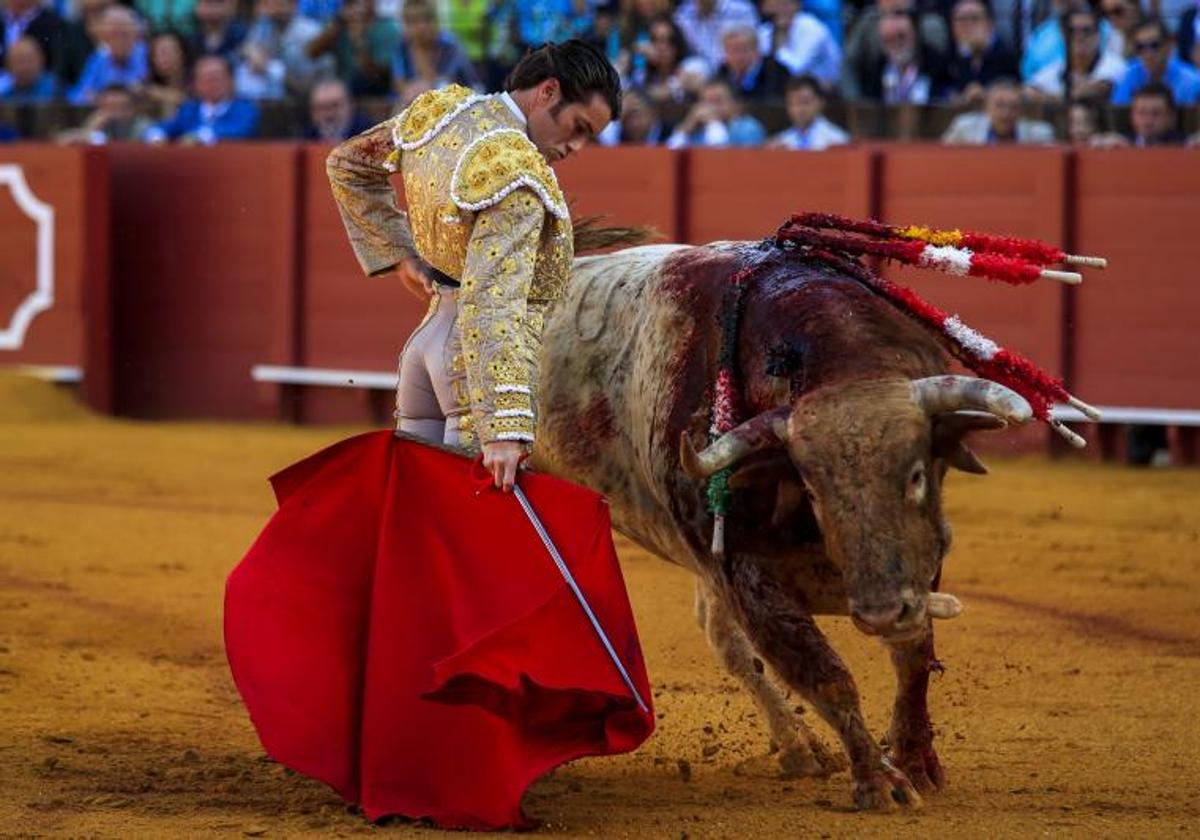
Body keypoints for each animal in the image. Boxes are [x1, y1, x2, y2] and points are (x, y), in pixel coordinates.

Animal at [530, 240, 1036, 811]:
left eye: (915, 475)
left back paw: (801, 749)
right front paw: (878, 780)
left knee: (725, 641)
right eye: (811, 487)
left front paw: (914, 760)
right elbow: (824, 673)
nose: (880, 613)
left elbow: (913, 657)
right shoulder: (743, 576)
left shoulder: (917, 568)